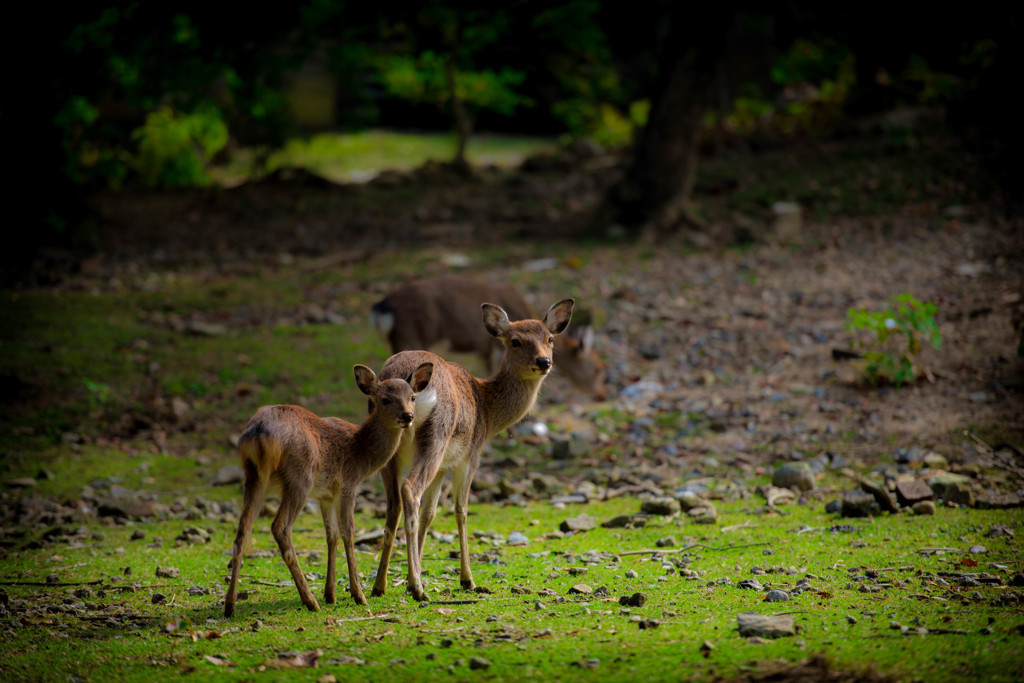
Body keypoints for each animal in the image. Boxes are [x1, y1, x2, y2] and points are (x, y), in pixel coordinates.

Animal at [224, 360, 432, 618]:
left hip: (253, 477)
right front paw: (358, 595)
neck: (362, 452)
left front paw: (331, 594)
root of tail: (260, 434)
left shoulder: (325, 494)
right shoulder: (348, 485)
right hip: (299, 478)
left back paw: (230, 606)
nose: (407, 416)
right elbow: (348, 532)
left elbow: (331, 536)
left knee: (242, 532)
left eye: (413, 397)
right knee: (280, 528)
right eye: (385, 399)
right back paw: (309, 600)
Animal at [370, 272, 602, 401]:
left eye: (550, 339)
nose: (602, 395)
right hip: (411, 337)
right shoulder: (493, 348)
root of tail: (382, 307)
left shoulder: (482, 350)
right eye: (599, 368)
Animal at [370, 296, 577, 602]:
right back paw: (419, 589)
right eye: (515, 341)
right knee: (410, 491)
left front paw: (410, 576)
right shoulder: (470, 456)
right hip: (436, 436)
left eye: (550, 338)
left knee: (394, 505)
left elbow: (431, 513)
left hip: (391, 451)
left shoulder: (443, 468)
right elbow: (461, 510)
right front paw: (466, 580)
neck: (487, 411)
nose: (544, 361)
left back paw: (380, 585)